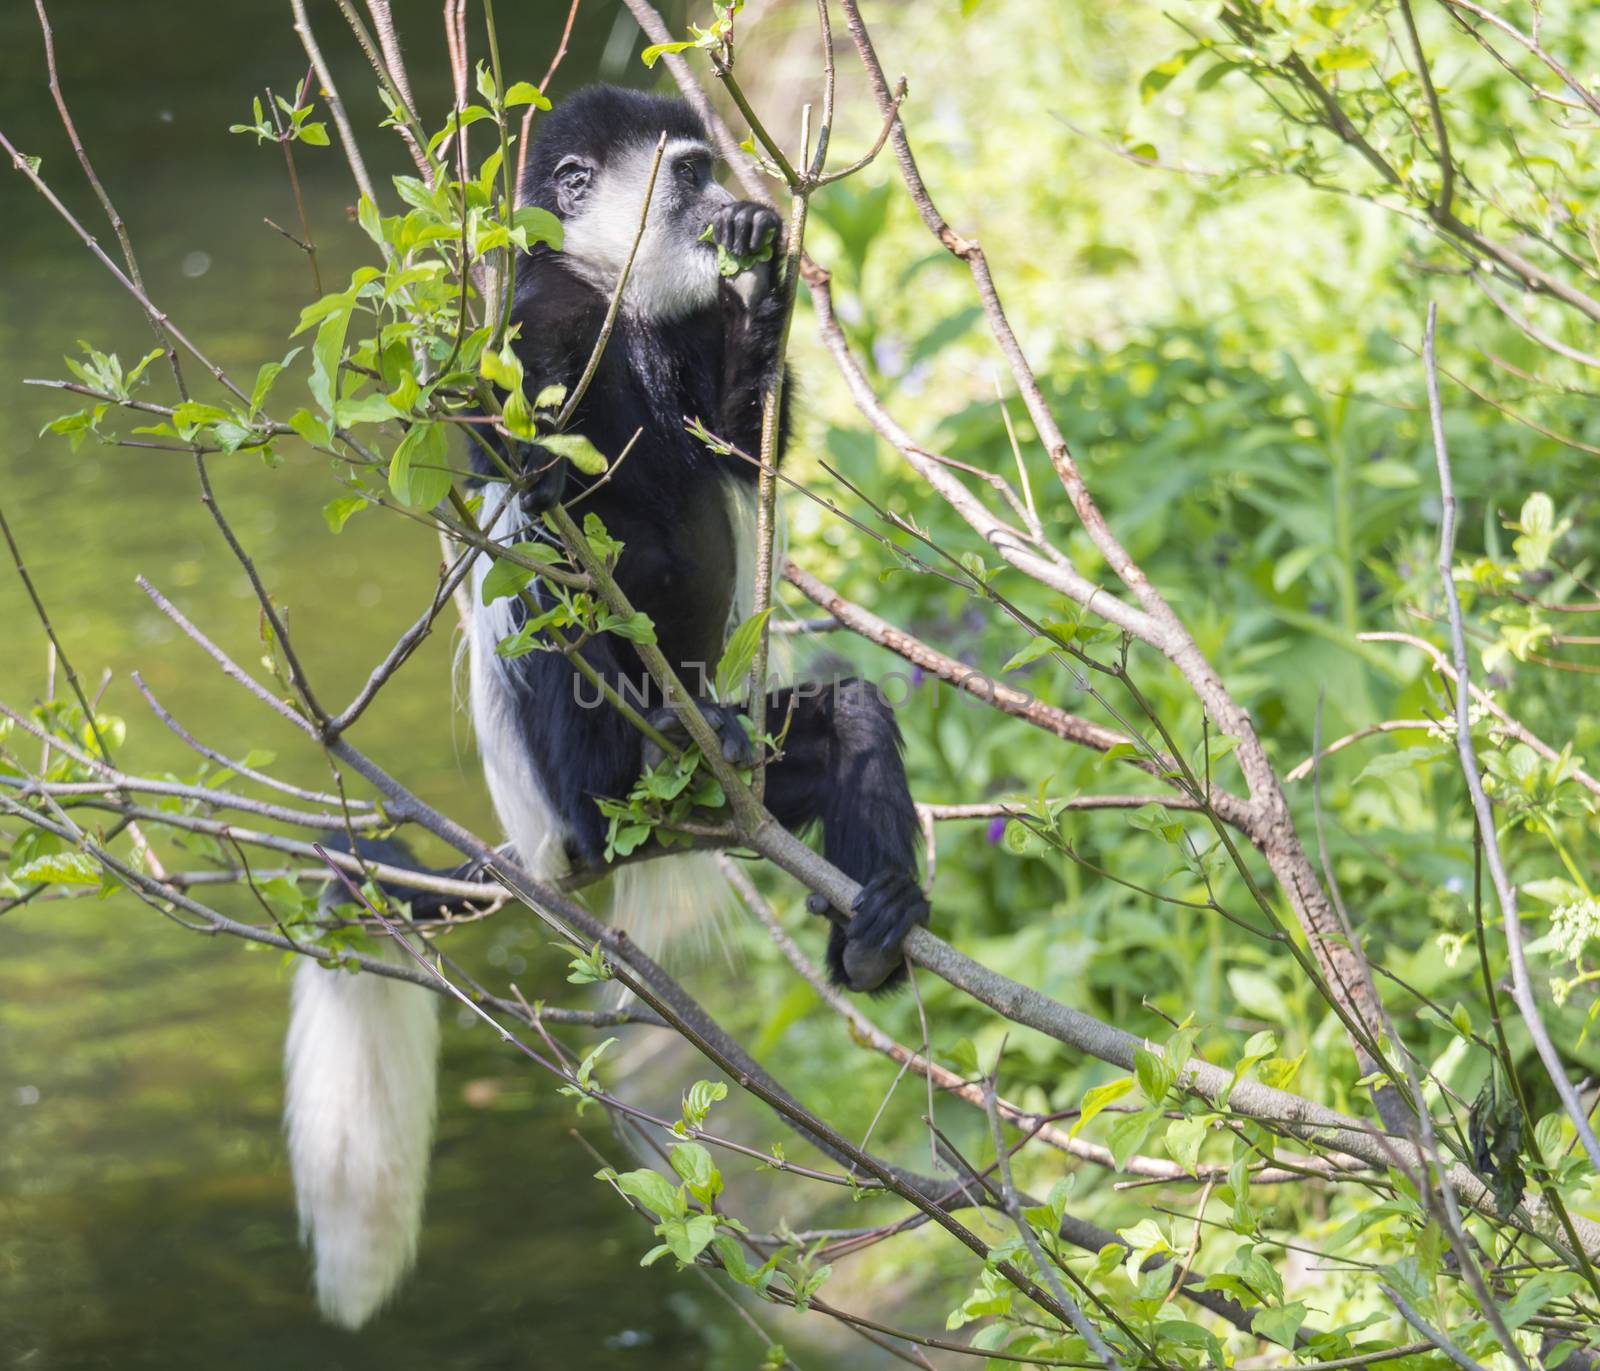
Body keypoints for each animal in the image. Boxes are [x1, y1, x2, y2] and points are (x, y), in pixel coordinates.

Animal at [288, 85, 928, 1324]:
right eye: (684, 174)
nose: (729, 203)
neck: (621, 302)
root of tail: (546, 849)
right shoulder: (533, 332)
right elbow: (554, 509)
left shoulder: (677, 342)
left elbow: (742, 442)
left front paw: (763, 275)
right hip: (574, 780)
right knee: (547, 603)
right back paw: (668, 745)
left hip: (758, 781)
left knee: (848, 722)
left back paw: (871, 930)